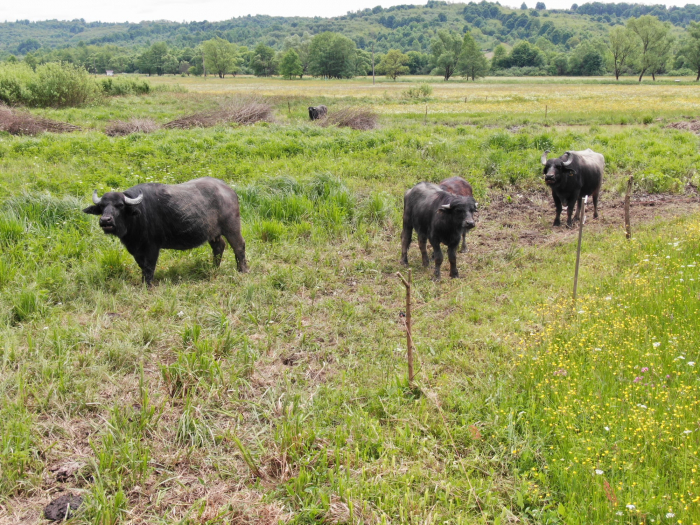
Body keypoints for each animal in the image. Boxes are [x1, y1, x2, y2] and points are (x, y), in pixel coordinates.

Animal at [82, 177, 249, 284]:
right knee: (219, 247)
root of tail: (229, 190)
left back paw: (242, 270)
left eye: (120, 205)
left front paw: (147, 285)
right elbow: (142, 265)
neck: (137, 216)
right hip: (213, 233)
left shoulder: (152, 247)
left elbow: (149, 267)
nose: (105, 221)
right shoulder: (136, 249)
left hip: (232, 227)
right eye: (102, 206)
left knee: (239, 246)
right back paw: (214, 267)